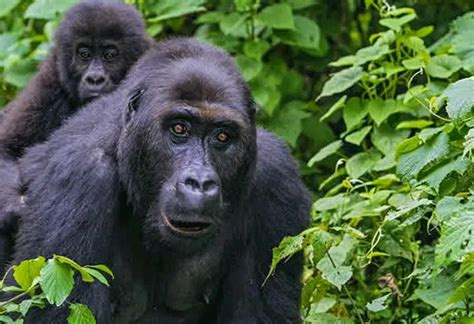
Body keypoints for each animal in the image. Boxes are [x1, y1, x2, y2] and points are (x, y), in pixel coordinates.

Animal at [0, 0, 153, 268]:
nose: (95, 78)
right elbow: (7, 149)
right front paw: (16, 207)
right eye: (84, 54)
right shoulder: (49, 83)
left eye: (110, 55)